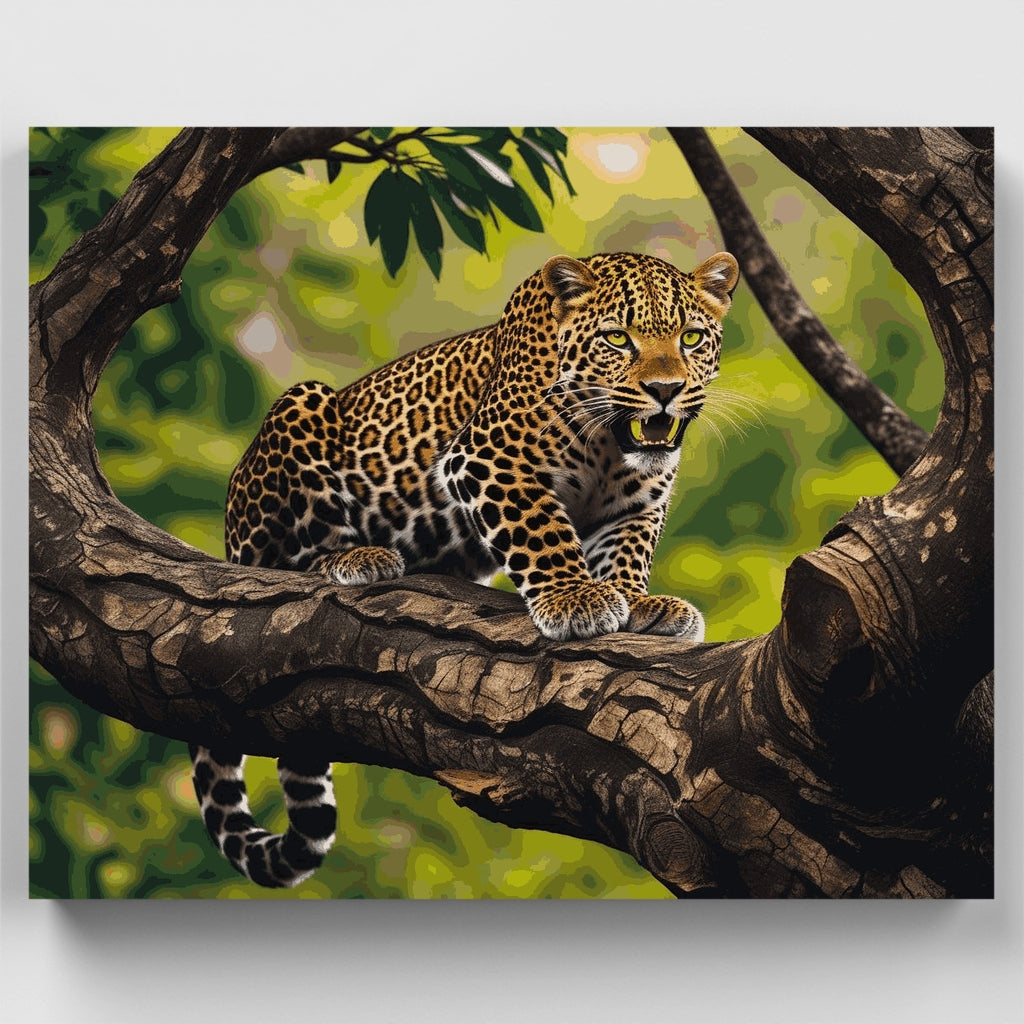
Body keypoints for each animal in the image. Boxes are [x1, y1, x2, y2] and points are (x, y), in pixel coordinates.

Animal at [192, 249, 740, 887]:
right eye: (617, 339)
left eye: (691, 338)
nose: (666, 391)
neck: (608, 446)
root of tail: (229, 531)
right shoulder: (485, 458)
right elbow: (543, 531)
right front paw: (574, 598)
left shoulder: (638, 500)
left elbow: (627, 552)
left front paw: (639, 603)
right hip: (300, 411)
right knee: (296, 551)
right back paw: (357, 557)